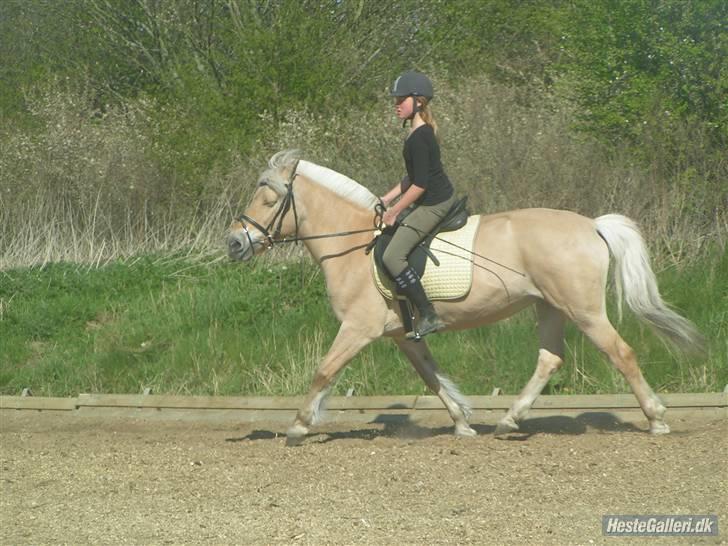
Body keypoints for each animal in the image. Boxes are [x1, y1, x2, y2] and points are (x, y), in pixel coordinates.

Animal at [229, 150, 704, 442]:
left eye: (269, 198)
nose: (235, 243)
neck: (355, 244)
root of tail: (592, 225)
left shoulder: (358, 328)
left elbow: (324, 371)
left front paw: (298, 425)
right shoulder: (403, 335)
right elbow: (432, 377)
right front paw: (461, 422)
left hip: (582, 309)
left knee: (620, 353)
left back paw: (656, 419)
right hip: (549, 307)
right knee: (550, 359)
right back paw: (510, 420)